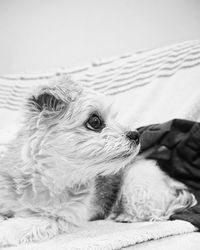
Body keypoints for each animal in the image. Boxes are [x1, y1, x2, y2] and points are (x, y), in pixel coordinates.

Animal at [0, 76, 195, 246]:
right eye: (95, 121)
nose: (136, 135)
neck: (49, 179)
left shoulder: (60, 218)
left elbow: (22, 223)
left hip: (137, 182)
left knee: (154, 211)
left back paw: (125, 216)